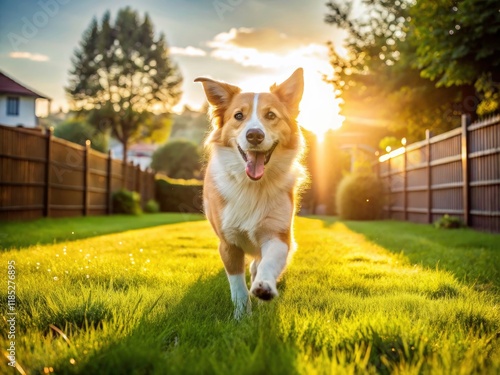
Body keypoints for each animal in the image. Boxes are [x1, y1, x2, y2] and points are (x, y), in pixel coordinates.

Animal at [194, 68, 304, 320]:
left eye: (271, 115)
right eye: (238, 116)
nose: (254, 135)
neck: (253, 186)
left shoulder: (278, 235)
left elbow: (268, 263)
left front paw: (264, 288)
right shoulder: (228, 243)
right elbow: (237, 286)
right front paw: (242, 317)